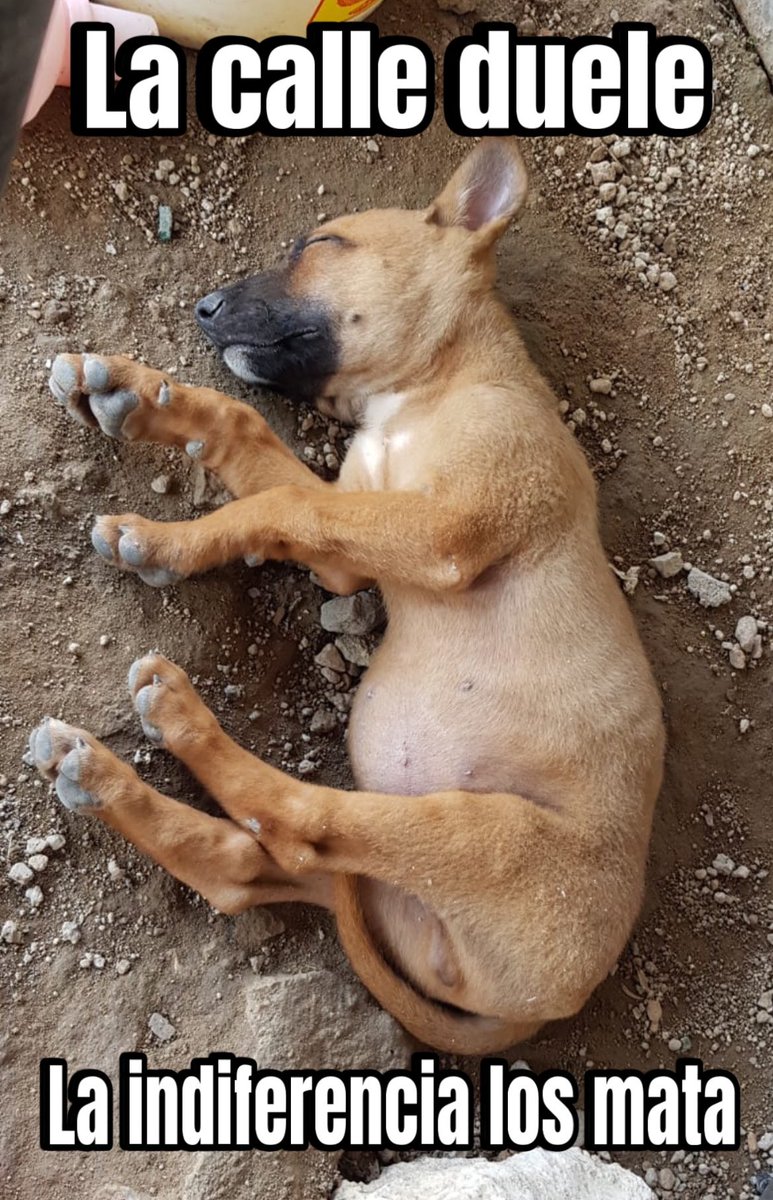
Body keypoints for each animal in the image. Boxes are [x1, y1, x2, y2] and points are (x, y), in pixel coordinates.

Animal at [31, 140, 662, 1051]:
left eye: (321, 243)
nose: (204, 309)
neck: (422, 393)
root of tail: (539, 1008)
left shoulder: (443, 530)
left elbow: (279, 507)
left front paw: (162, 541)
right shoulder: (353, 544)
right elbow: (254, 445)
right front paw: (140, 394)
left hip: (483, 834)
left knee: (306, 823)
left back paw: (181, 719)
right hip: (384, 896)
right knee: (248, 867)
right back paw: (100, 775)